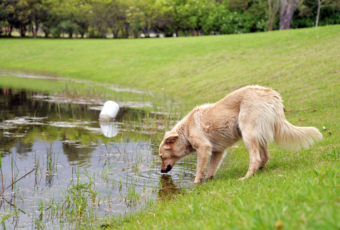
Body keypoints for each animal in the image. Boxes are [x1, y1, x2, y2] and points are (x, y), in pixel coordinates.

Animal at [158, 85, 322, 182]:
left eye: (161, 156)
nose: (161, 171)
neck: (185, 131)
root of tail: (272, 95)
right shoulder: (218, 151)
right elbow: (211, 169)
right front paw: (209, 181)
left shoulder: (204, 148)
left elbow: (199, 171)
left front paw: (196, 185)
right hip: (258, 135)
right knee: (265, 156)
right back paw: (258, 170)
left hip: (248, 134)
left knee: (255, 158)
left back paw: (246, 177)